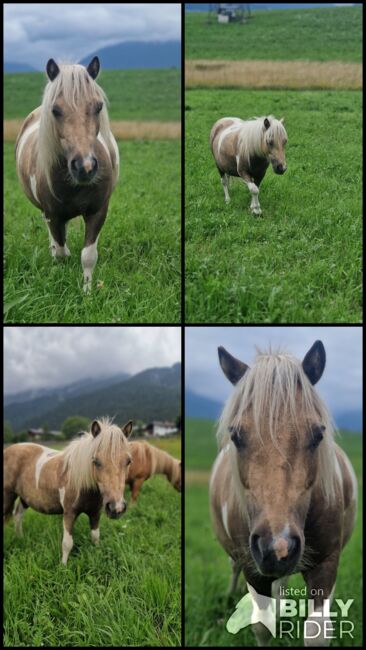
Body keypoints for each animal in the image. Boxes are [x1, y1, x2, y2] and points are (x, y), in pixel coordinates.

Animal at [3, 416, 132, 560]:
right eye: (96, 461)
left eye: (128, 461)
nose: (117, 508)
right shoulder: (69, 513)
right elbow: (67, 544)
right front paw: (63, 565)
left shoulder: (95, 513)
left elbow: (95, 537)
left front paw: (97, 554)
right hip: (7, 495)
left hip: (25, 498)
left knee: (18, 515)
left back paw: (20, 538)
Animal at [15, 58, 118, 292]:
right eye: (55, 110)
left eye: (98, 106)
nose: (85, 167)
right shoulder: (53, 215)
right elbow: (61, 252)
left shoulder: (98, 211)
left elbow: (88, 256)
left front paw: (88, 291)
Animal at [210, 342, 356, 644]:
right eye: (236, 435)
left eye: (317, 434)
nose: (277, 547)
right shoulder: (253, 569)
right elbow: (263, 625)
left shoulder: (326, 563)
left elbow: (316, 631)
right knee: (234, 568)